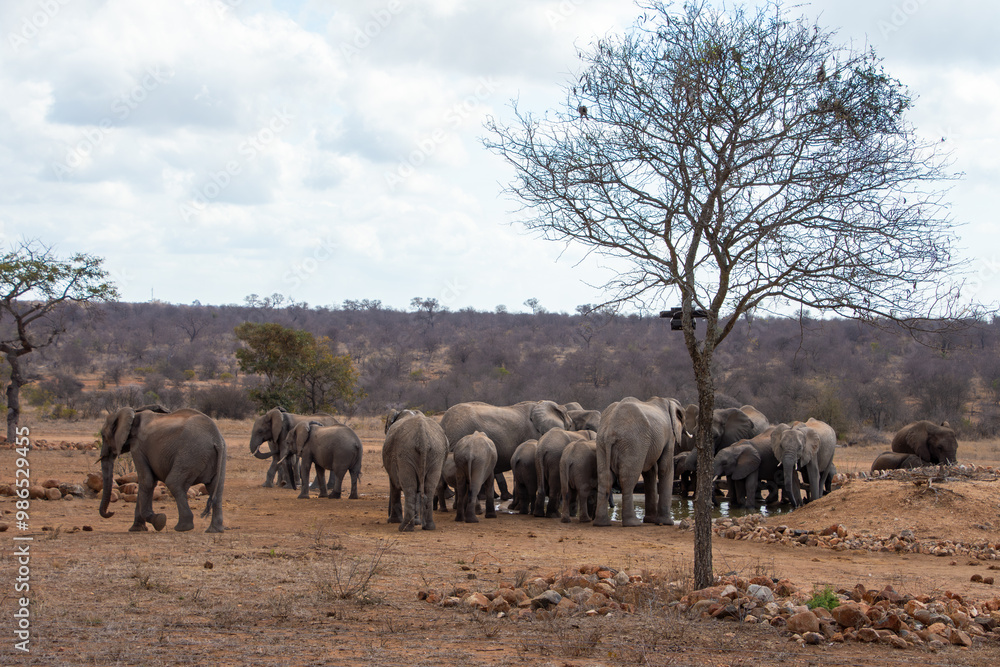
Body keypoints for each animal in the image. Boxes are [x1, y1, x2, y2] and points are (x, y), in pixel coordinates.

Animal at [594, 396, 685, 527]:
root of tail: (610, 431)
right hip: (633, 443)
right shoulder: (668, 436)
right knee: (628, 479)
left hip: (601, 443)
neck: (667, 400)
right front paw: (667, 523)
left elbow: (650, 472)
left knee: (604, 478)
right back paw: (633, 523)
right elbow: (665, 468)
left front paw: (651, 520)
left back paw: (602, 523)